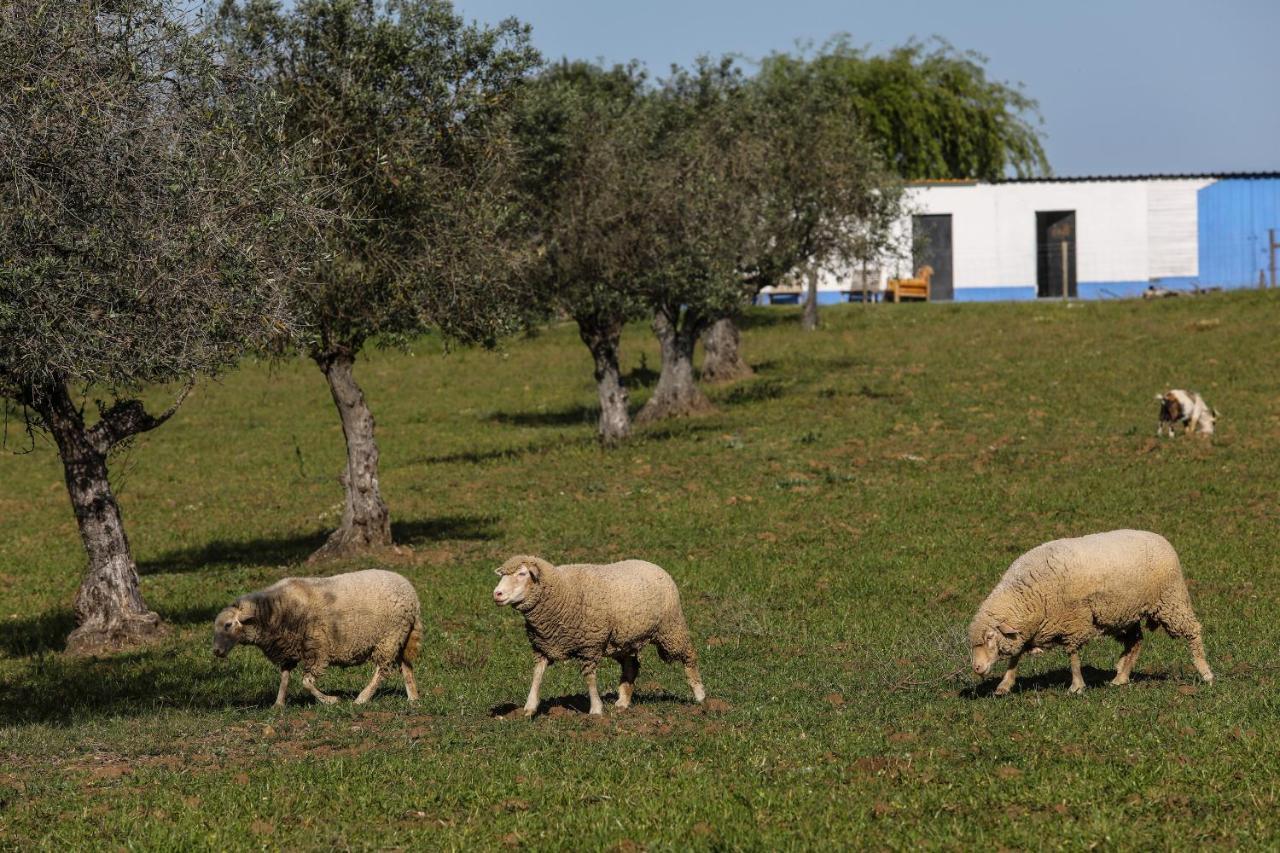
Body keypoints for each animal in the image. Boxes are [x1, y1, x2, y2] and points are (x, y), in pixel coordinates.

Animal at [213, 563, 419, 701]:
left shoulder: (316, 649)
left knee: (382, 670)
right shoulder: (288, 649)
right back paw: (413, 698)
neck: (275, 610)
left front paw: (330, 700)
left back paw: (362, 698)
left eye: (228, 625)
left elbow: (306, 683)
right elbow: (284, 678)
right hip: (401, 637)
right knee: (406, 666)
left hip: (389, 637)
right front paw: (278, 704)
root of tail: (411, 592)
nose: (216, 651)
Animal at [491, 555, 711, 712]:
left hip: (670, 628)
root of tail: (654, 565)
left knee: (689, 655)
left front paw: (596, 710)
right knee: (631, 666)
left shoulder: (590, 644)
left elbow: (589, 678)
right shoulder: (543, 646)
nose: (496, 594)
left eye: (522, 574)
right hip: (624, 640)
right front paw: (529, 707)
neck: (562, 591)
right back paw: (623, 701)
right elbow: (537, 674)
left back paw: (700, 695)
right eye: (502, 576)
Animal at [967, 527, 1208, 696]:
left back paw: (1205, 673)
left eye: (990, 637)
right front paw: (1004, 685)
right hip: (1125, 613)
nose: (977, 668)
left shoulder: (1073, 621)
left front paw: (1077, 686)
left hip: (1171, 600)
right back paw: (1120, 677)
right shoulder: (1029, 629)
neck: (1030, 593)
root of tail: (1160, 538)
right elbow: (1015, 658)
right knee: (1136, 641)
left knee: (1192, 632)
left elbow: (1073, 656)